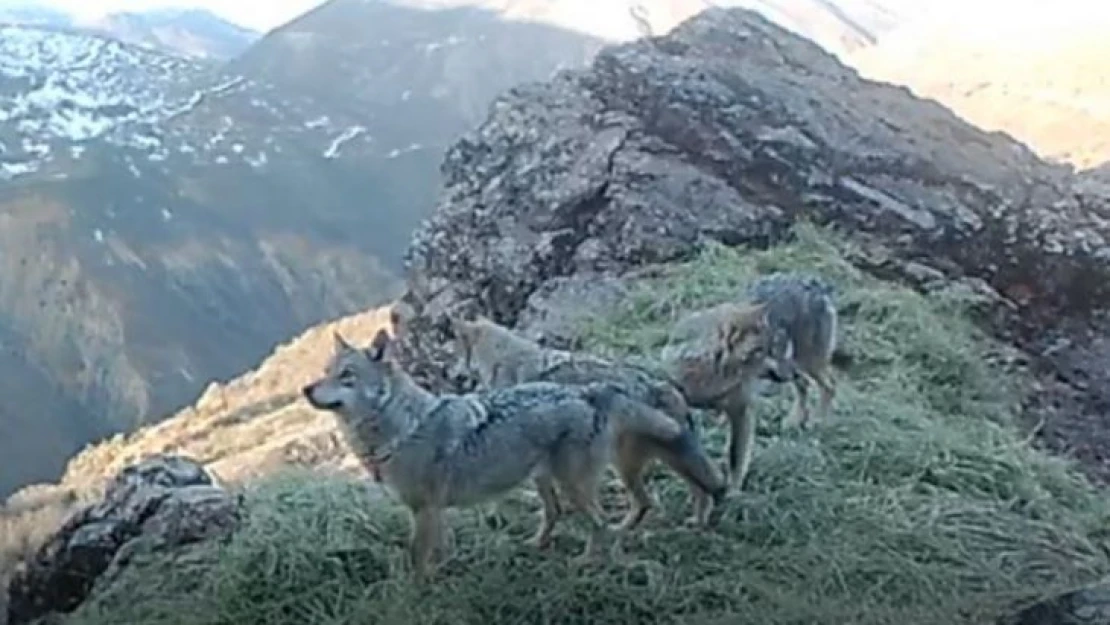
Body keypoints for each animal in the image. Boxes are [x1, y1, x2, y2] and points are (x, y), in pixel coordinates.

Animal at [304, 330, 683, 581]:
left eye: (347, 376)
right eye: (325, 371)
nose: (306, 389)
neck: (402, 430)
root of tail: (590, 392)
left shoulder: (423, 510)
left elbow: (416, 559)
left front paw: (416, 592)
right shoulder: (434, 512)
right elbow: (438, 552)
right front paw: (443, 575)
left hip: (572, 486)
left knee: (600, 523)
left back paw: (587, 562)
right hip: (545, 480)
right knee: (558, 513)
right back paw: (536, 545)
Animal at [446, 317, 732, 532]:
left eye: (455, 353)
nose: (451, 376)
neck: (507, 363)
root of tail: (664, 386)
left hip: (627, 462)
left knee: (652, 499)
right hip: (657, 460)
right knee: (695, 490)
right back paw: (695, 523)